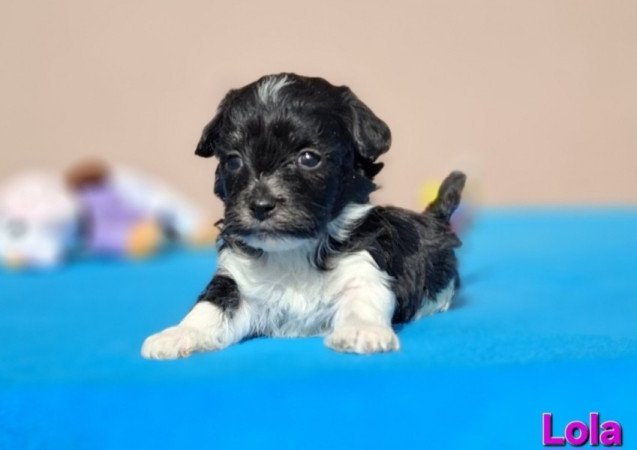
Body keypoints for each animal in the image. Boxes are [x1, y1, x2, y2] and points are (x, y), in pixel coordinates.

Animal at [142, 74, 464, 358]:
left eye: (309, 158)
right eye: (233, 160)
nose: (260, 205)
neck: (293, 250)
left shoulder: (364, 266)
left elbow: (363, 300)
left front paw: (361, 331)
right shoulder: (234, 282)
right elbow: (209, 307)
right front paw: (178, 334)